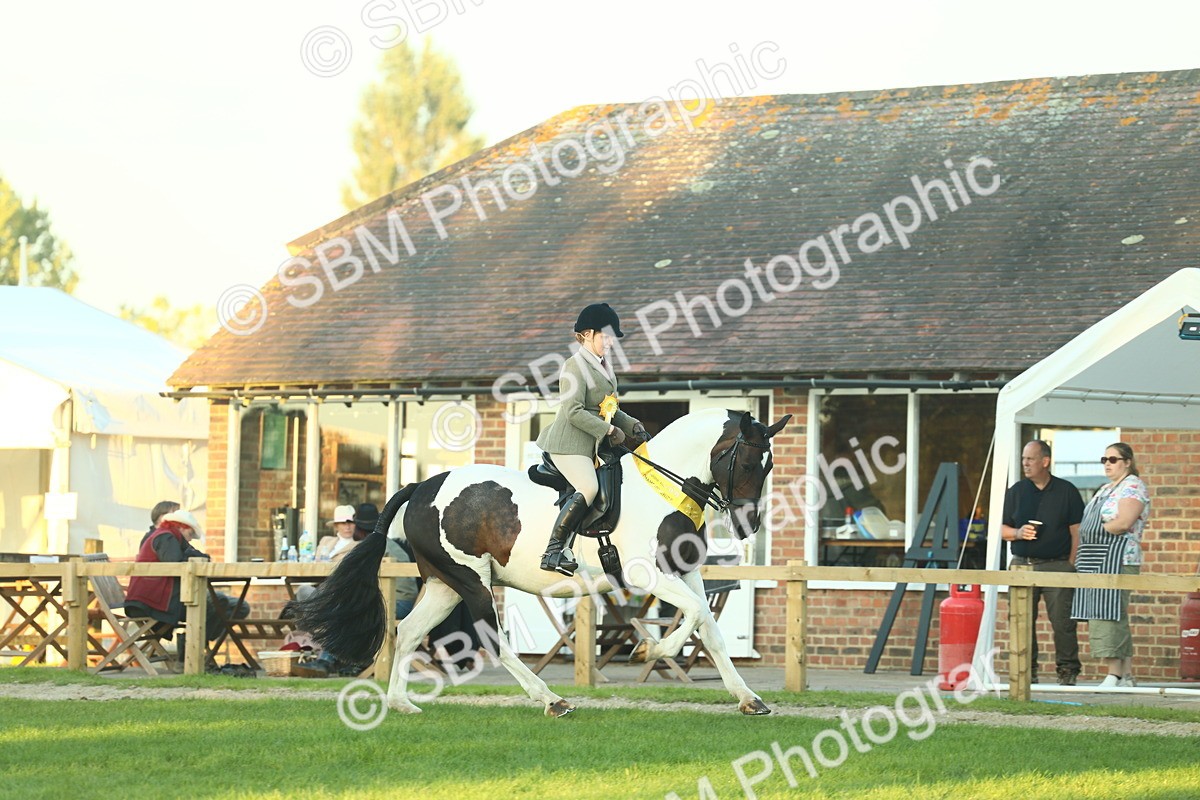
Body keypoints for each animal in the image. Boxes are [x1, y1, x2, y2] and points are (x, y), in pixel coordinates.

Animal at [294, 407, 791, 717]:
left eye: (768, 466)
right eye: (749, 462)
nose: (747, 525)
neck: (662, 487)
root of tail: (423, 485)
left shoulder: (685, 571)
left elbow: (708, 623)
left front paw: (748, 698)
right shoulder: (645, 573)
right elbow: (691, 614)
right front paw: (649, 650)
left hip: (443, 583)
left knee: (411, 630)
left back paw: (400, 703)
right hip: (471, 580)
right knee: (490, 639)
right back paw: (551, 699)